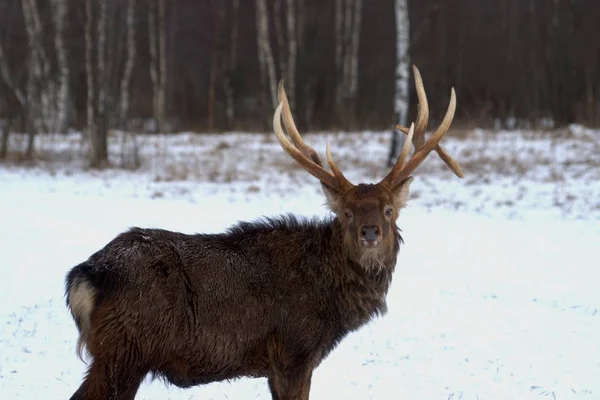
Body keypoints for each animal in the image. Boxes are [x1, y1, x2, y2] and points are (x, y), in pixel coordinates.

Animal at [64, 65, 460, 396]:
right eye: (346, 212)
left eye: (389, 210)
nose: (370, 232)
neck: (333, 305)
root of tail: (85, 276)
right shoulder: (295, 350)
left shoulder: (276, 364)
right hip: (124, 350)